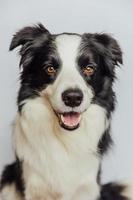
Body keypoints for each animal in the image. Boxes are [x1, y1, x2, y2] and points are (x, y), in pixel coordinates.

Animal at [0, 23, 133, 200]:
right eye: (49, 68)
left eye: (89, 68)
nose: (73, 98)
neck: (66, 138)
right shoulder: (34, 186)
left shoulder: (87, 187)